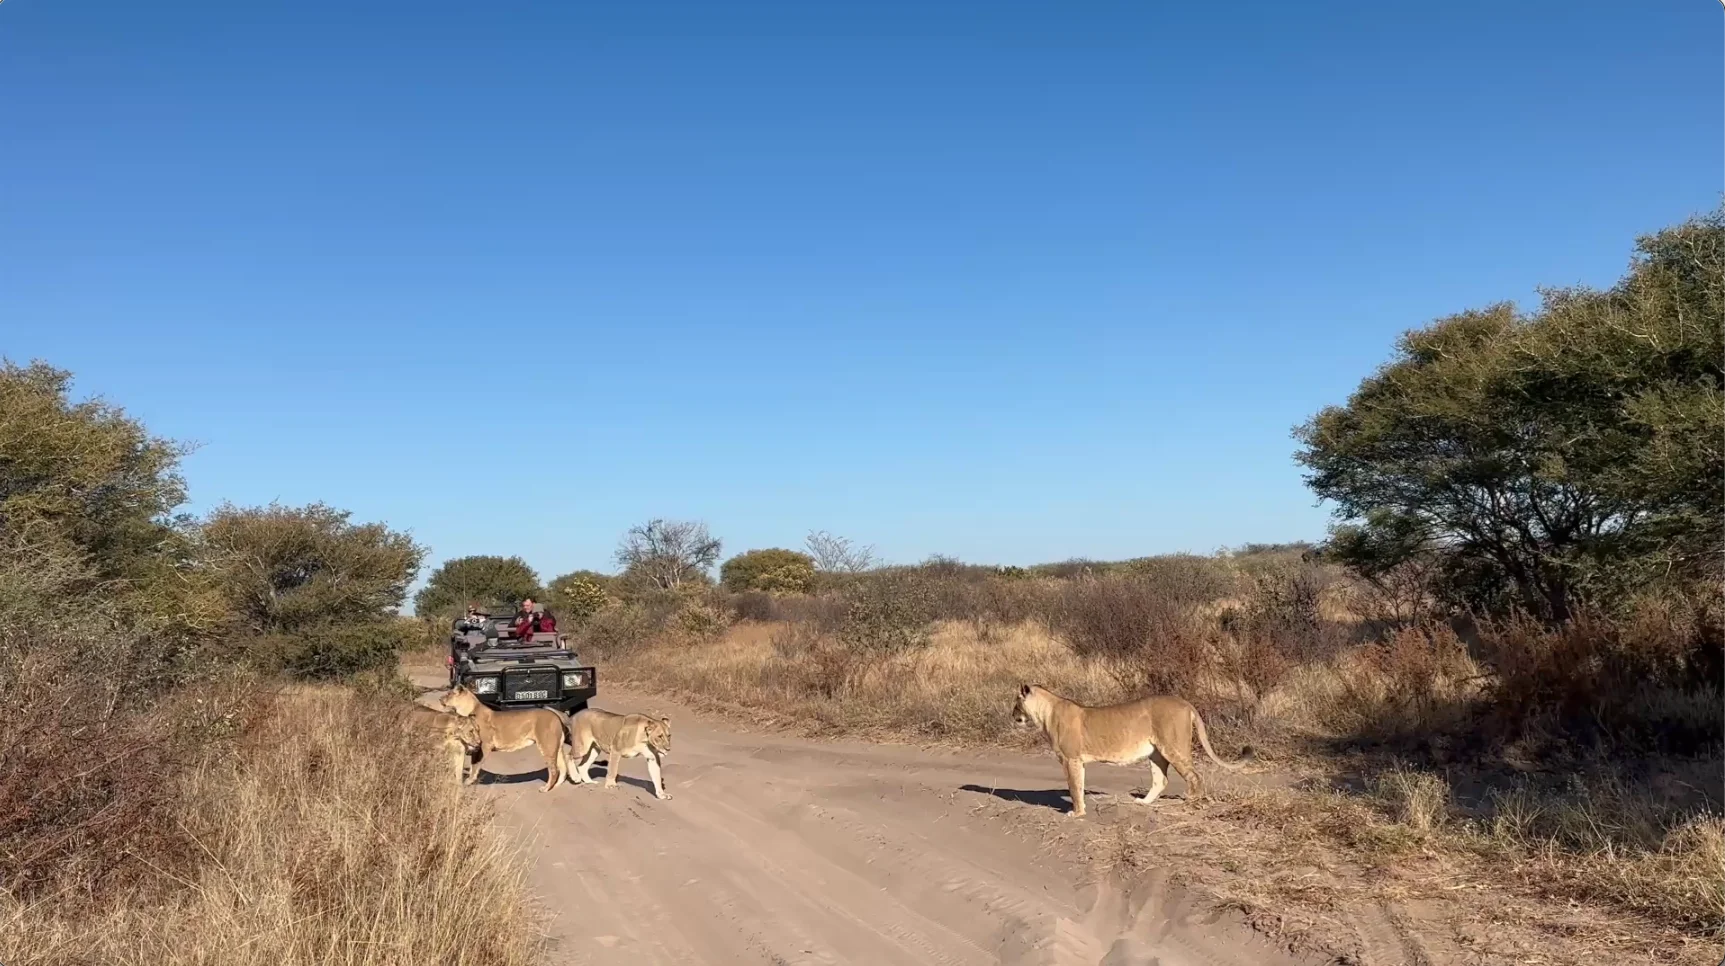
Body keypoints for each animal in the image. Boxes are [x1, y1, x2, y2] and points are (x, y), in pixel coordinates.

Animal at [439, 686, 572, 791]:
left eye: (449, 693)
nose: (440, 699)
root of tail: (556, 716)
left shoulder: (484, 745)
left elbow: (475, 765)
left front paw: (469, 781)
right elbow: (473, 764)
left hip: (546, 746)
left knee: (554, 770)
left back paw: (545, 788)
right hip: (556, 747)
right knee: (563, 768)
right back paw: (556, 787)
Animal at [1013, 683, 1248, 817]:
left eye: (1016, 703)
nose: (1012, 715)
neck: (1045, 713)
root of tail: (1185, 703)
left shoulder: (1071, 759)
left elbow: (1074, 787)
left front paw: (1077, 813)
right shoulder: (1076, 761)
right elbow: (1078, 785)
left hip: (1173, 747)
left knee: (1194, 775)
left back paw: (1191, 800)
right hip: (1156, 753)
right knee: (1161, 780)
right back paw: (1143, 802)